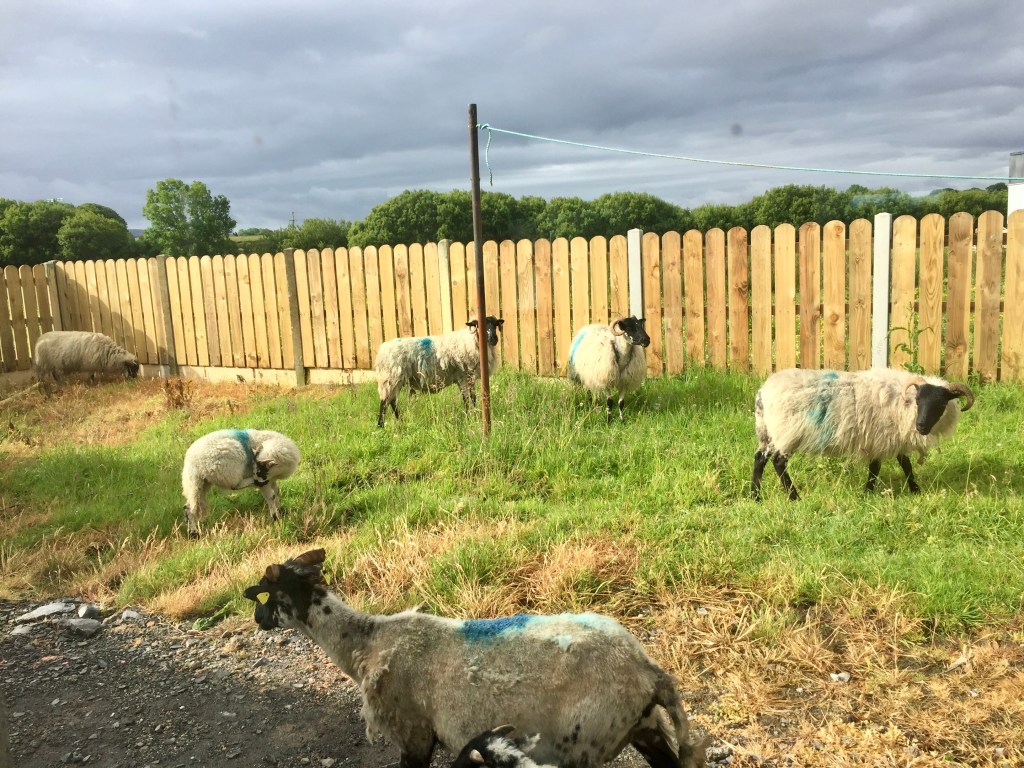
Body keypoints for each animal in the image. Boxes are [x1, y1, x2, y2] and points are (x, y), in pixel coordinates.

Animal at [243, 549, 706, 768]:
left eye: (266, 595)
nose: (257, 620)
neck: (366, 644)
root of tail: (649, 672)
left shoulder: (414, 734)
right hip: (641, 727)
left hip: (586, 739)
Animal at [375, 316, 504, 428]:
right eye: (479, 325)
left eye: (496, 324)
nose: (494, 339)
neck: (470, 341)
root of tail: (382, 350)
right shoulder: (463, 376)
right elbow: (466, 399)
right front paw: (469, 417)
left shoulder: (468, 378)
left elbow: (473, 398)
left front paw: (475, 416)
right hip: (391, 377)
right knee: (384, 402)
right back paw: (381, 426)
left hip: (395, 379)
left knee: (391, 401)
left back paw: (400, 421)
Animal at [751, 367, 974, 500]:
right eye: (918, 400)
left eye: (941, 404)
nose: (921, 426)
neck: (902, 401)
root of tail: (763, 393)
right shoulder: (880, 437)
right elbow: (877, 467)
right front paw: (868, 492)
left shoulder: (889, 437)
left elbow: (904, 464)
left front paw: (914, 489)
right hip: (788, 432)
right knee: (778, 461)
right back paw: (794, 497)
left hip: (767, 431)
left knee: (760, 458)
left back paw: (755, 495)